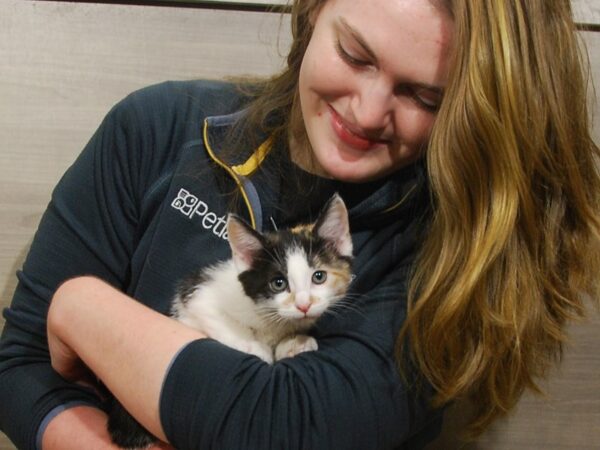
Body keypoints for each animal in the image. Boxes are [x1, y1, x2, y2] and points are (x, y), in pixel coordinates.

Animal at [108, 194, 354, 450]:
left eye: (319, 276)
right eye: (278, 283)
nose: (304, 305)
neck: (265, 314)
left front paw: (294, 342)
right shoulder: (196, 295)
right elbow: (219, 320)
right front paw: (255, 346)